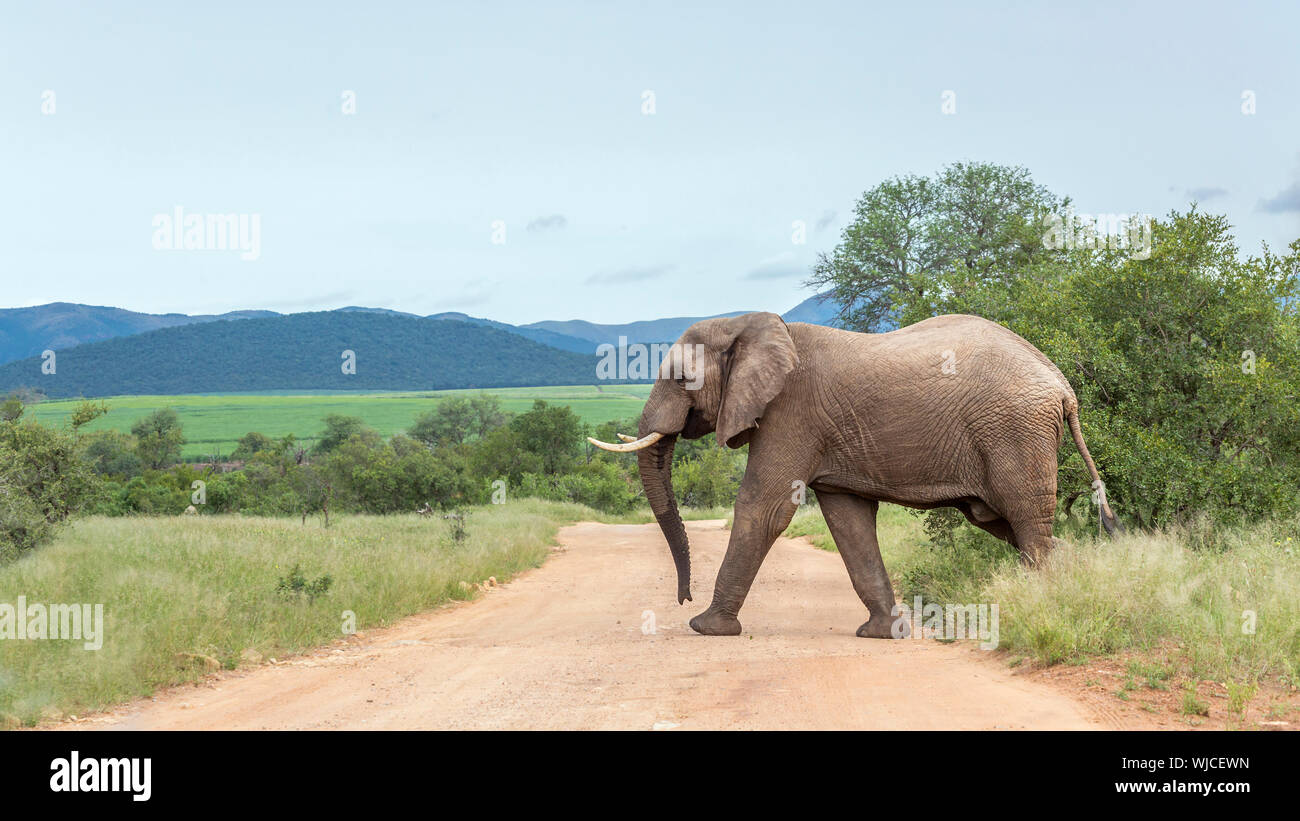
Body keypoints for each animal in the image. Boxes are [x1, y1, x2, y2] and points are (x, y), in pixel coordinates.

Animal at [587, 310, 1118, 639]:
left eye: (681, 378)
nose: (682, 598)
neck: (750, 325)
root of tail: (1063, 385)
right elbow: (849, 522)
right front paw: (882, 634)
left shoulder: (790, 414)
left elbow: (764, 506)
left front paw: (706, 628)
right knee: (1007, 523)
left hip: (1015, 433)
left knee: (1028, 523)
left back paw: (1046, 603)